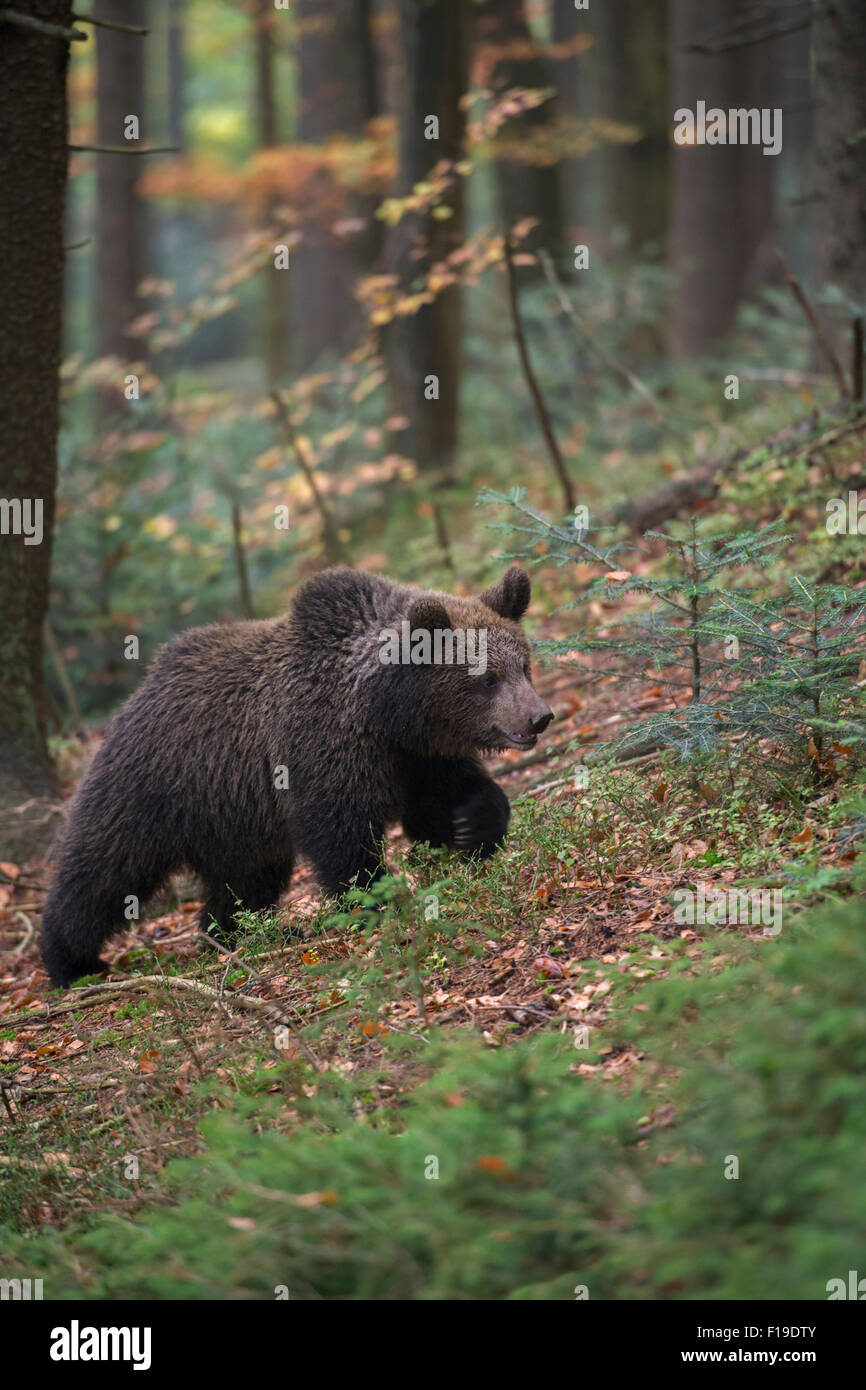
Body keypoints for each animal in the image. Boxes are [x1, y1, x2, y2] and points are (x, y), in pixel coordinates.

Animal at [40, 564, 553, 989]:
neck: (383, 712)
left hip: (233, 820)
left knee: (246, 882)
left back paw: (236, 934)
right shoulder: (320, 748)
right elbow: (341, 835)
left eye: (524, 664)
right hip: (151, 789)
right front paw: (373, 901)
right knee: (102, 873)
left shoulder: (417, 757)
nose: (539, 717)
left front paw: (473, 824)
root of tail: (135, 696)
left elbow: (444, 800)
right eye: (486, 677)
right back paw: (71, 962)